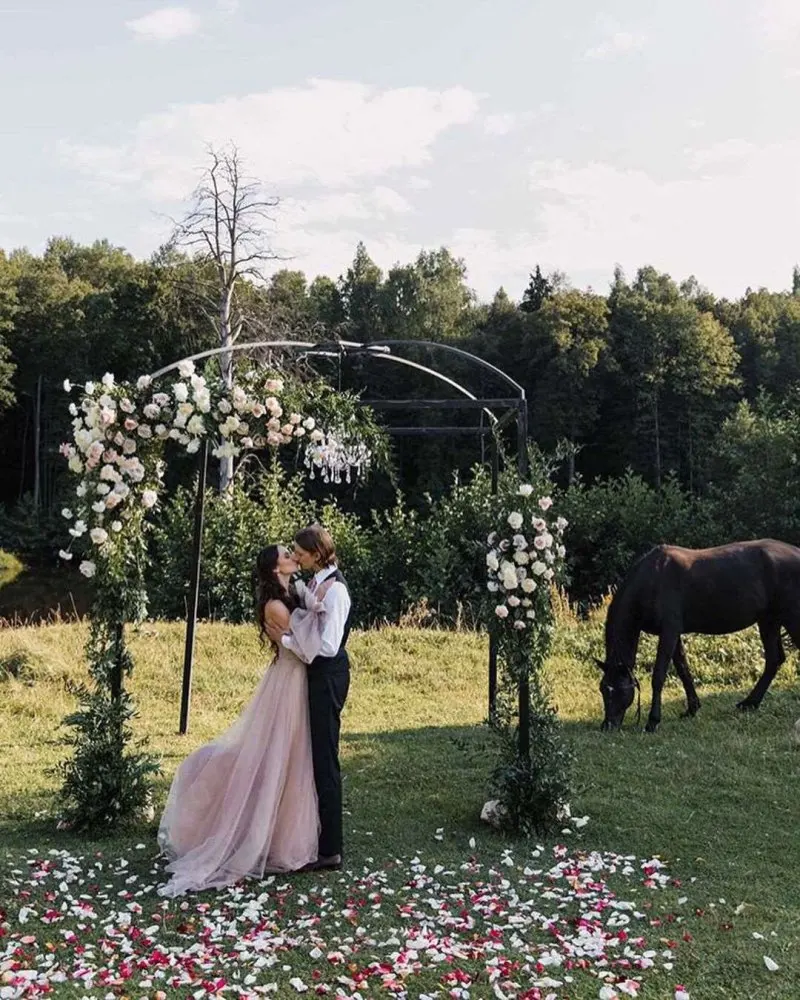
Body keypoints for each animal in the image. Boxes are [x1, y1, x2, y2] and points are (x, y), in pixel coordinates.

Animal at [596, 539, 800, 732]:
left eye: (618, 690)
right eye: (603, 689)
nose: (607, 726)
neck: (651, 580)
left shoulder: (669, 632)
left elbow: (659, 675)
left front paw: (653, 722)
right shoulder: (673, 634)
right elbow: (683, 669)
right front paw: (692, 708)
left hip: (789, 618)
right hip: (769, 620)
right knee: (774, 660)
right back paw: (749, 703)